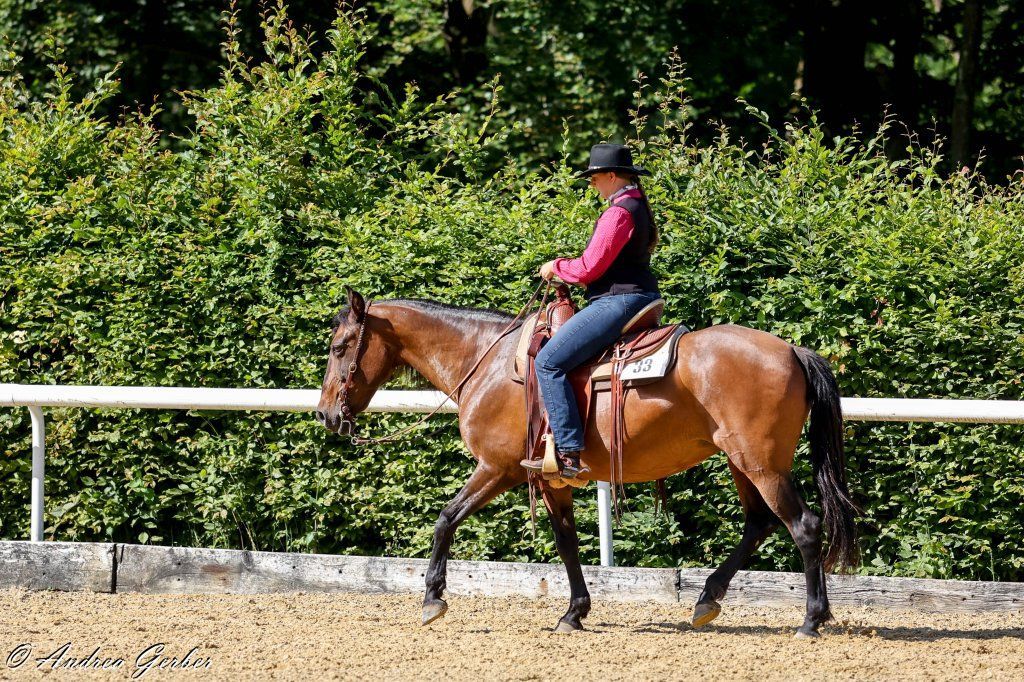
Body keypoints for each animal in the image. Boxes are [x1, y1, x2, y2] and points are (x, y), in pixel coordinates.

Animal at [317, 287, 859, 638]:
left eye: (339, 347)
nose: (326, 414)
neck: (487, 362)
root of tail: (792, 349)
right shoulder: (551, 481)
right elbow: (567, 544)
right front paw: (574, 613)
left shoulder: (496, 469)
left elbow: (445, 520)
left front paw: (432, 600)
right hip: (742, 463)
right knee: (760, 523)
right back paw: (708, 599)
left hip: (760, 463)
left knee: (804, 526)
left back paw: (811, 620)